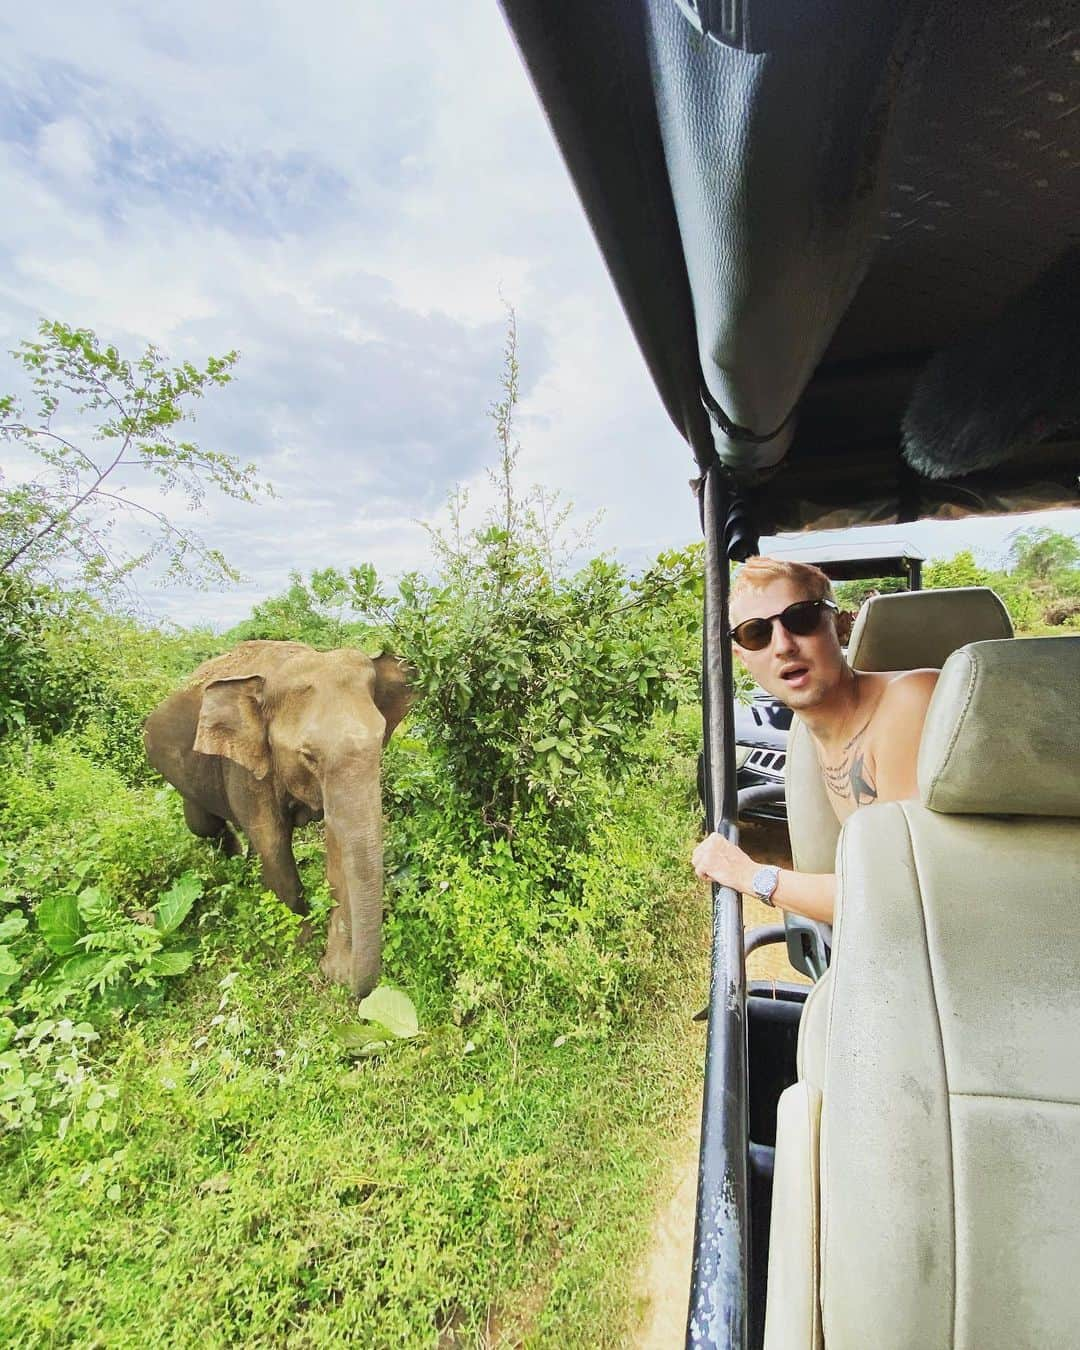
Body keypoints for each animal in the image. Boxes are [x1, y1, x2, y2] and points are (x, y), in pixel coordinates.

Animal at [141, 637, 410, 999]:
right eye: (309, 755)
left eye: (381, 740)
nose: (338, 974)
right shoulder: (246, 766)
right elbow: (274, 843)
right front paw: (303, 945)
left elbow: (336, 845)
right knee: (203, 825)